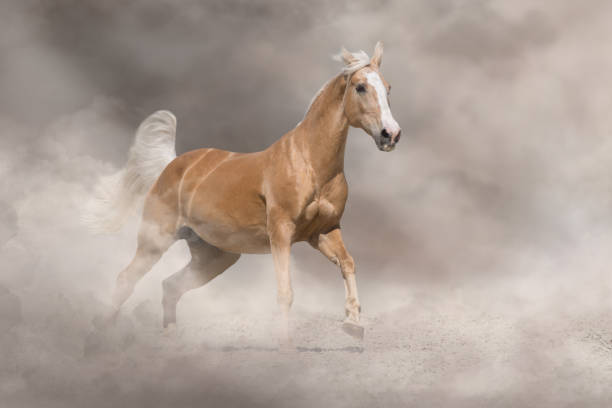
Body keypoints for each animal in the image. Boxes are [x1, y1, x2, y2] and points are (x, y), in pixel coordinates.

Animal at [86, 41, 402, 344]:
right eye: (360, 87)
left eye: (388, 88)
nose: (391, 134)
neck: (309, 163)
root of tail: (171, 166)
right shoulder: (281, 233)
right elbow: (285, 291)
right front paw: (286, 346)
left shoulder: (324, 231)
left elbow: (348, 264)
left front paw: (353, 324)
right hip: (155, 240)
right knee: (126, 279)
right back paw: (101, 336)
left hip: (215, 256)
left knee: (170, 286)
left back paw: (170, 342)